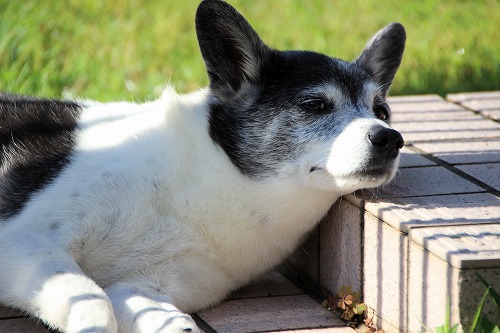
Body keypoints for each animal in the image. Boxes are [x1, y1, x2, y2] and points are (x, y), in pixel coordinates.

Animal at [0, 1, 406, 330]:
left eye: (382, 111)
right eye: (315, 105)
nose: (390, 138)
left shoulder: (143, 288)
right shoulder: (25, 241)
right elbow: (95, 303)